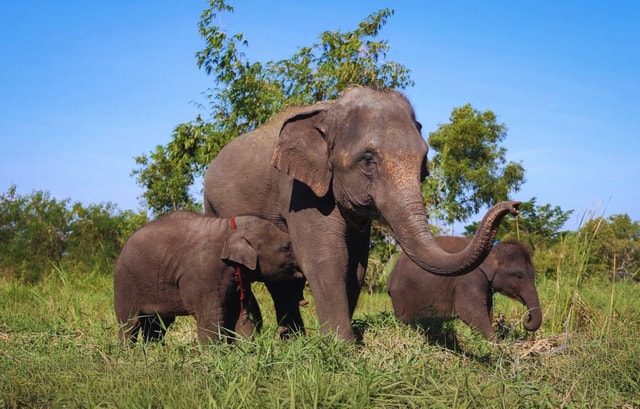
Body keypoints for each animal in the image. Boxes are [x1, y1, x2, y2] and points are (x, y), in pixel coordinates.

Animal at [113, 211, 298, 344]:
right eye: (286, 247)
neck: (228, 228)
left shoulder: (238, 278)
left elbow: (240, 315)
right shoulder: (204, 276)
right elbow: (211, 320)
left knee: (157, 325)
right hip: (125, 283)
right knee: (129, 324)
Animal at [203, 86, 521, 342]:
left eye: (423, 162)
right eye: (368, 161)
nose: (514, 206)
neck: (330, 111)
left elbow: (356, 263)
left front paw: (347, 342)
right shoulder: (299, 190)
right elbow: (326, 257)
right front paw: (342, 349)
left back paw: (291, 339)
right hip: (213, 206)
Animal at [387, 236, 542, 339]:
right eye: (518, 275)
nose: (526, 319)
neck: (493, 249)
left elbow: (488, 310)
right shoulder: (469, 278)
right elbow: (470, 311)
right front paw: (496, 344)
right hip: (401, 296)